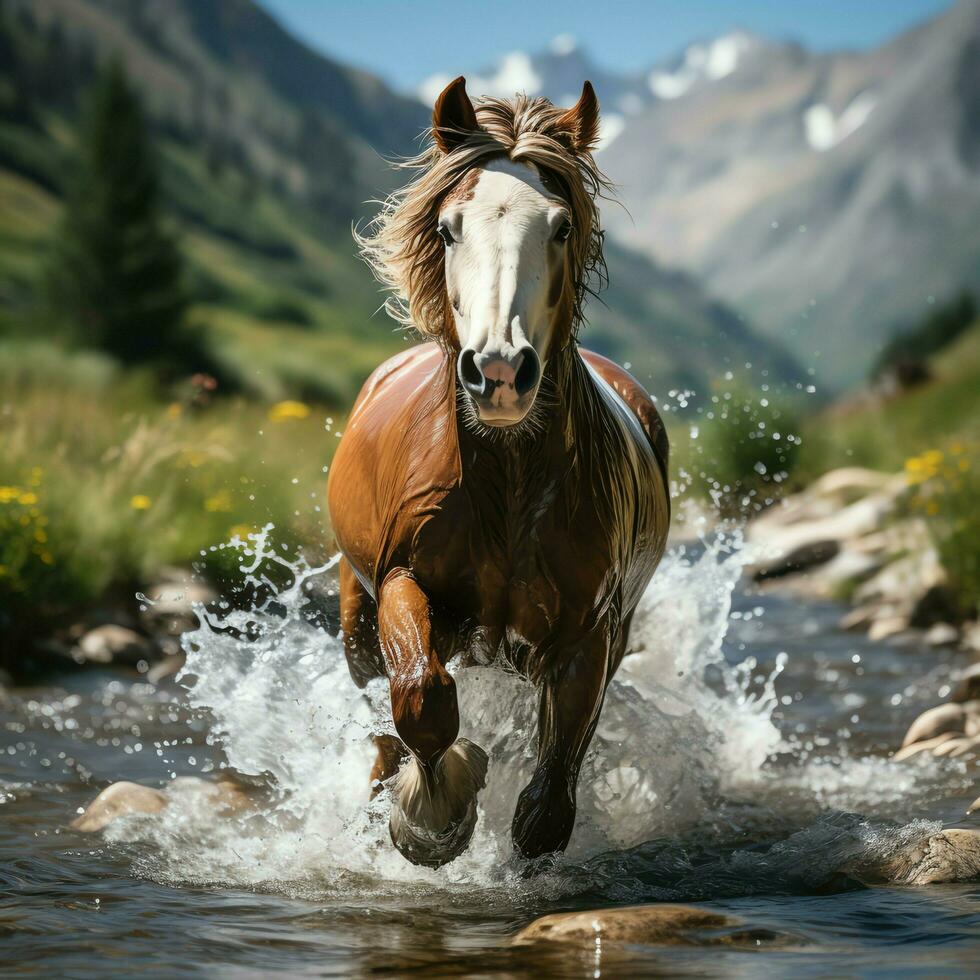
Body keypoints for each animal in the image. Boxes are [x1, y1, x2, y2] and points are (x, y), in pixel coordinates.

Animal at [330, 80, 672, 868]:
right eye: (449, 228)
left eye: (561, 226)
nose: (499, 373)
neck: (507, 484)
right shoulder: (404, 581)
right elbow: (421, 697)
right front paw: (432, 820)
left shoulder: (589, 633)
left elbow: (551, 791)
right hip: (357, 622)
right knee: (381, 710)